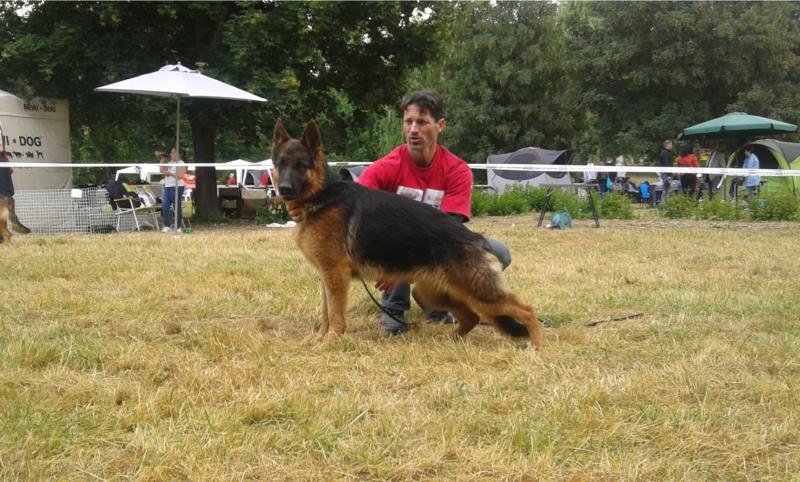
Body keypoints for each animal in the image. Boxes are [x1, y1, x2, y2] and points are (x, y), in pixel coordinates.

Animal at [272, 120, 542, 348]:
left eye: (301, 165)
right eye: (280, 164)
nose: (283, 189)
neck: (322, 195)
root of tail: (476, 238)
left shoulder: (335, 276)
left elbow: (335, 314)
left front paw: (330, 342)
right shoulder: (326, 277)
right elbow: (325, 312)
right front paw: (319, 337)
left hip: (480, 292)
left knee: (527, 310)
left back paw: (537, 347)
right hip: (432, 293)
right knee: (471, 317)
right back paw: (450, 339)